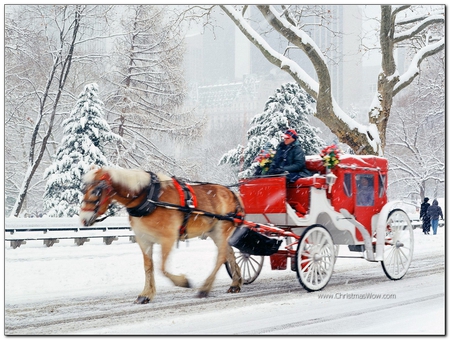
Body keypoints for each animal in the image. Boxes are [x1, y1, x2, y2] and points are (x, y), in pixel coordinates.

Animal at [79, 166, 244, 304]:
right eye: (83, 190)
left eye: (96, 191)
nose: (83, 219)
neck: (148, 197)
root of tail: (232, 193)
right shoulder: (144, 240)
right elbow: (148, 267)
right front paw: (145, 294)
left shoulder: (168, 238)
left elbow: (162, 268)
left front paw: (182, 282)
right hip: (214, 232)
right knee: (229, 254)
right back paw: (235, 283)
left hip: (222, 229)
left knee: (221, 256)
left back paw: (205, 288)